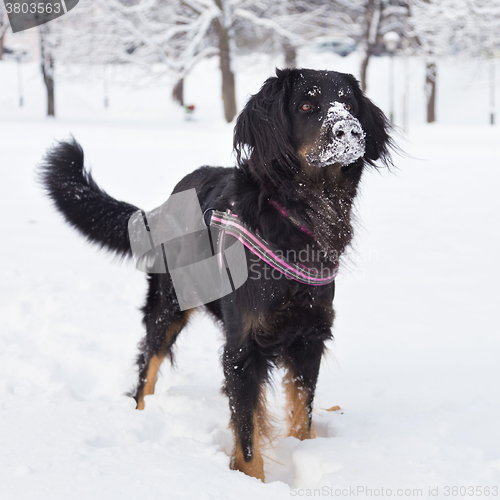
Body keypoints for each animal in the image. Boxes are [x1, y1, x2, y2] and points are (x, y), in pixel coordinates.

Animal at [40, 68, 390, 482]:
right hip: (168, 304)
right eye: (307, 105)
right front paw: (250, 481)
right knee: (147, 367)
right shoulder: (243, 347)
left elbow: (301, 413)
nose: (349, 130)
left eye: (348, 104)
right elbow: (247, 433)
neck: (296, 215)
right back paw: (140, 415)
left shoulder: (309, 337)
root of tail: (164, 204)